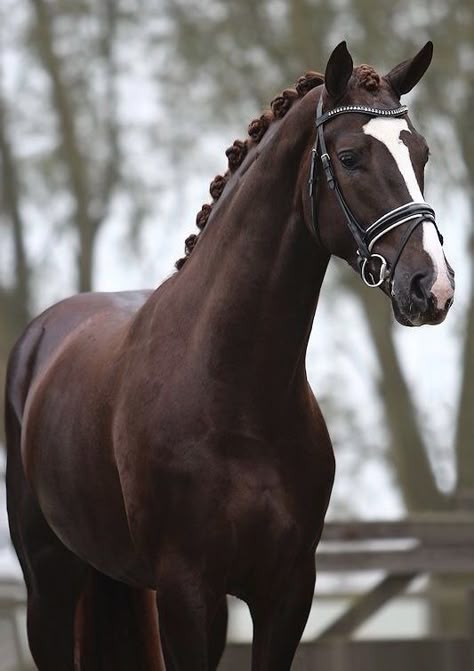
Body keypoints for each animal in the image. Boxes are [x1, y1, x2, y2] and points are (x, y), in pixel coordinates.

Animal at [5, 42, 454, 671]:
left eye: (421, 153)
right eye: (349, 157)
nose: (431, 286)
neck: (234, 393)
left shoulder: (287, 591)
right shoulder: (189, 594)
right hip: (49, 586)